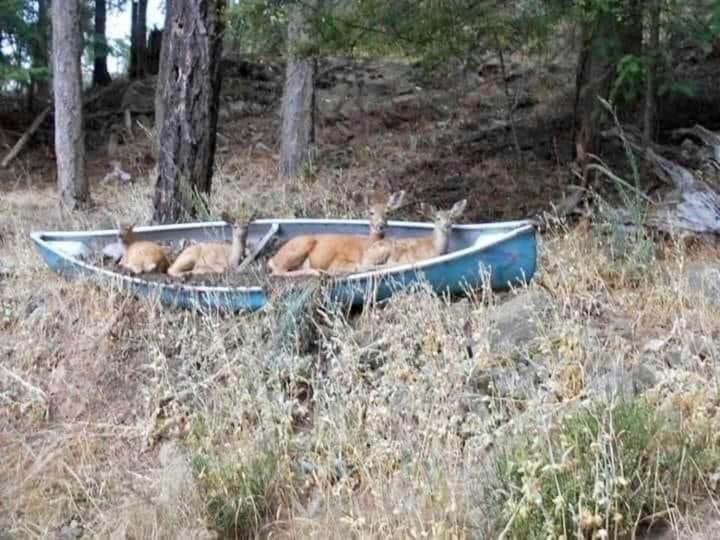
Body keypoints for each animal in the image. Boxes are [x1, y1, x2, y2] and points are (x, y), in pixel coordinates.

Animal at [268, 190, 408, 276]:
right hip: (302, 244)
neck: (367, 244)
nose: (381, 225)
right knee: (277, 272)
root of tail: (273, 258)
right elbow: (357, 266)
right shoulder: (339, 261)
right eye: (371, 212)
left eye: (388, 212)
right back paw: (315, 272)